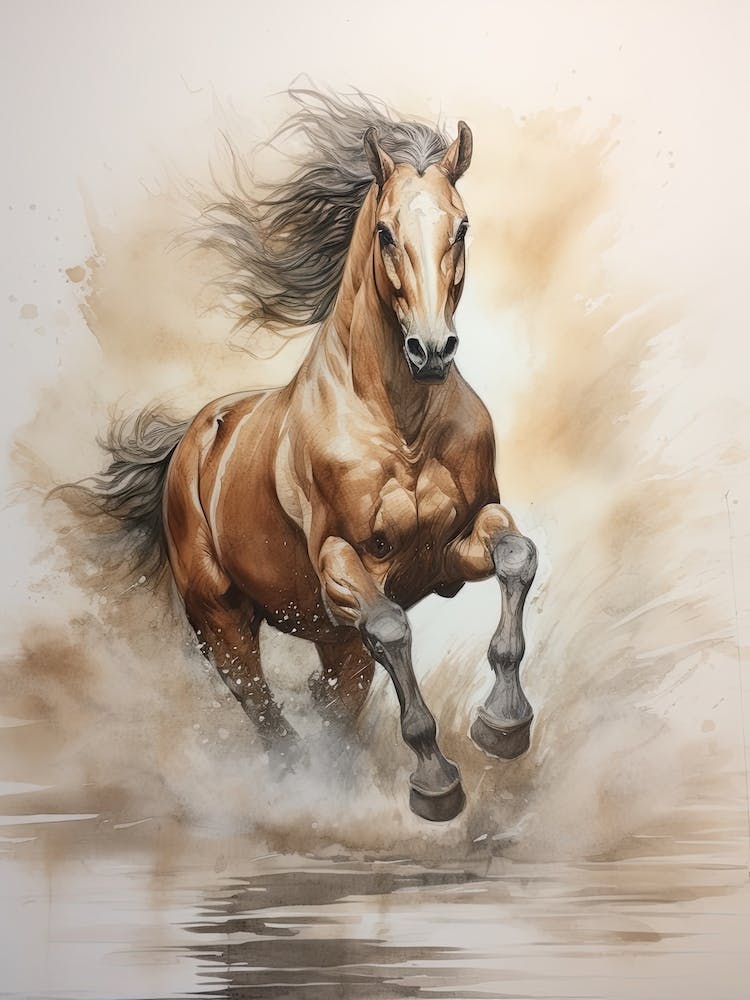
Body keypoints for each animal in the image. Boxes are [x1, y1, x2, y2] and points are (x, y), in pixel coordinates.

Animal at [74, 92, 538, 822]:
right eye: (386, 233)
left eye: (461, 227)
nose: (432, 350)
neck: (402, 425)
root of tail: (190, 444)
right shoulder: (345, 564)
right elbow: (393, 628)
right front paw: (435, 781)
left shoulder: (457, 545)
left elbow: (518, 556)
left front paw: (503, 723)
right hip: (223, 622)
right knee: (264, 709)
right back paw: (298, 789)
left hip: (330, 637)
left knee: (334, 706)